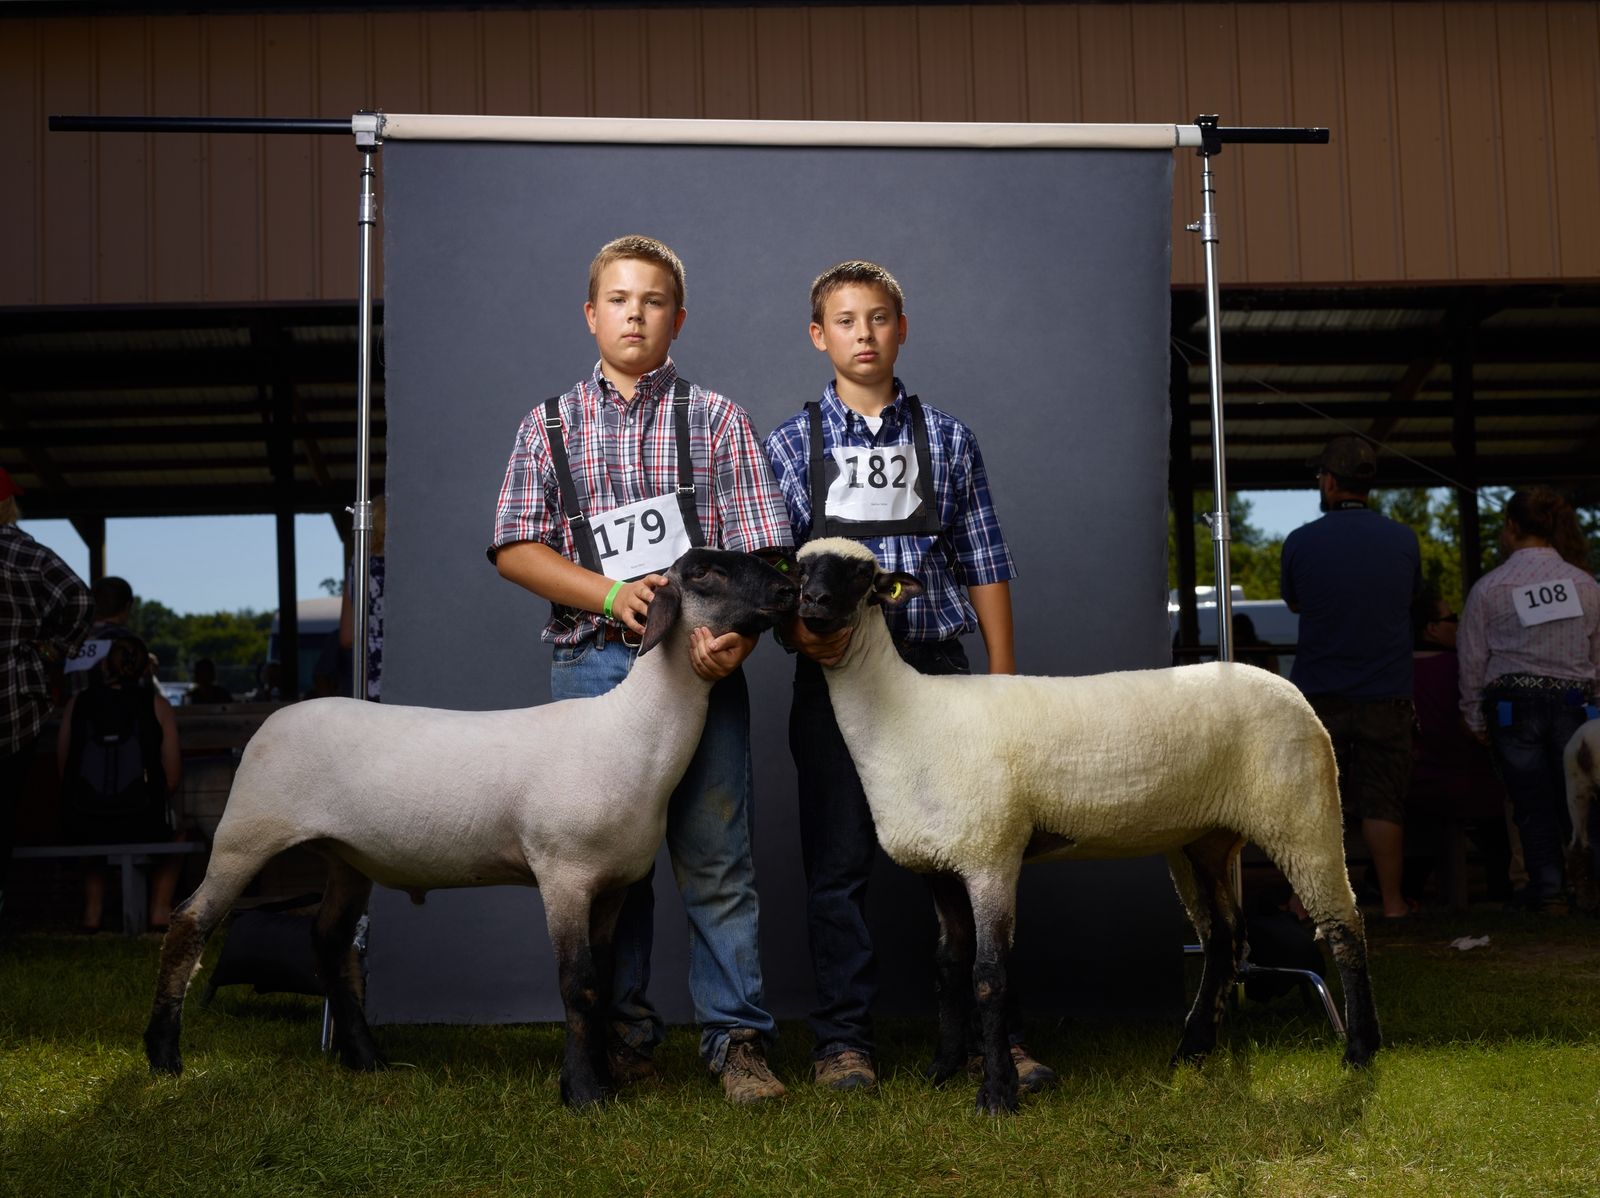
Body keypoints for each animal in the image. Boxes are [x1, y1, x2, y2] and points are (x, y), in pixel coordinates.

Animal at [144, 547, 800, 1106]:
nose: (789, 588)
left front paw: (603, 1079)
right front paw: (585, 1093)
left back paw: (366, 1059)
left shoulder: (614, 883)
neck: (634, 729)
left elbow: (604, 979)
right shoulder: (564, 872)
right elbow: (579, 983)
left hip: (346, 856)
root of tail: (272, 721)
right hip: (247, 832)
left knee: (327, 942)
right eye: (705, 572)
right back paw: (164, 1059)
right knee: (188, 924)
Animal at [793, 537, 1382, 1119]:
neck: (905, 718)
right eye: (799, 569)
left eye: (860, 575)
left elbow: (989, 975)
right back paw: (1192, 1051)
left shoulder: (990, 853)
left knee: (1343, 924)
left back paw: (1360, 1051)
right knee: (1224, 938)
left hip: (1300, 807)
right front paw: (942, 1072)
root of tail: (1288, 690)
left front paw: (997, 1094)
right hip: (1204, 838)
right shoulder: (940, 864)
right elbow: (948, 967)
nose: (813, 603)